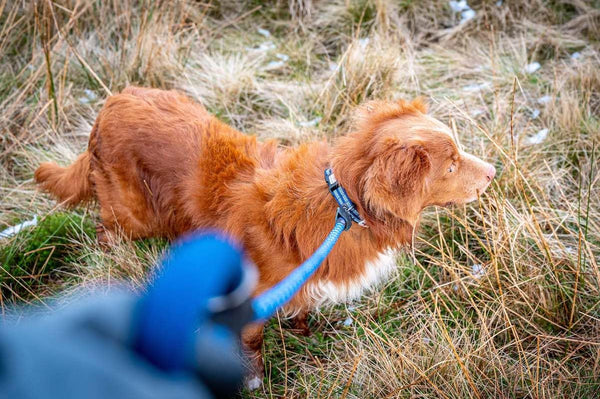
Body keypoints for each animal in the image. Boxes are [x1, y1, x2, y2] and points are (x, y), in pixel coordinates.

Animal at [34, 86, 496, 388]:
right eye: (451, 165)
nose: (495, 171)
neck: (340, 204)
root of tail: (110, 105)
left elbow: (301, 305)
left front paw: (305, 332)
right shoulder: (250, 295)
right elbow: (253, 341)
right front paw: (254, 379)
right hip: (133, 213)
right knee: (105, 228)